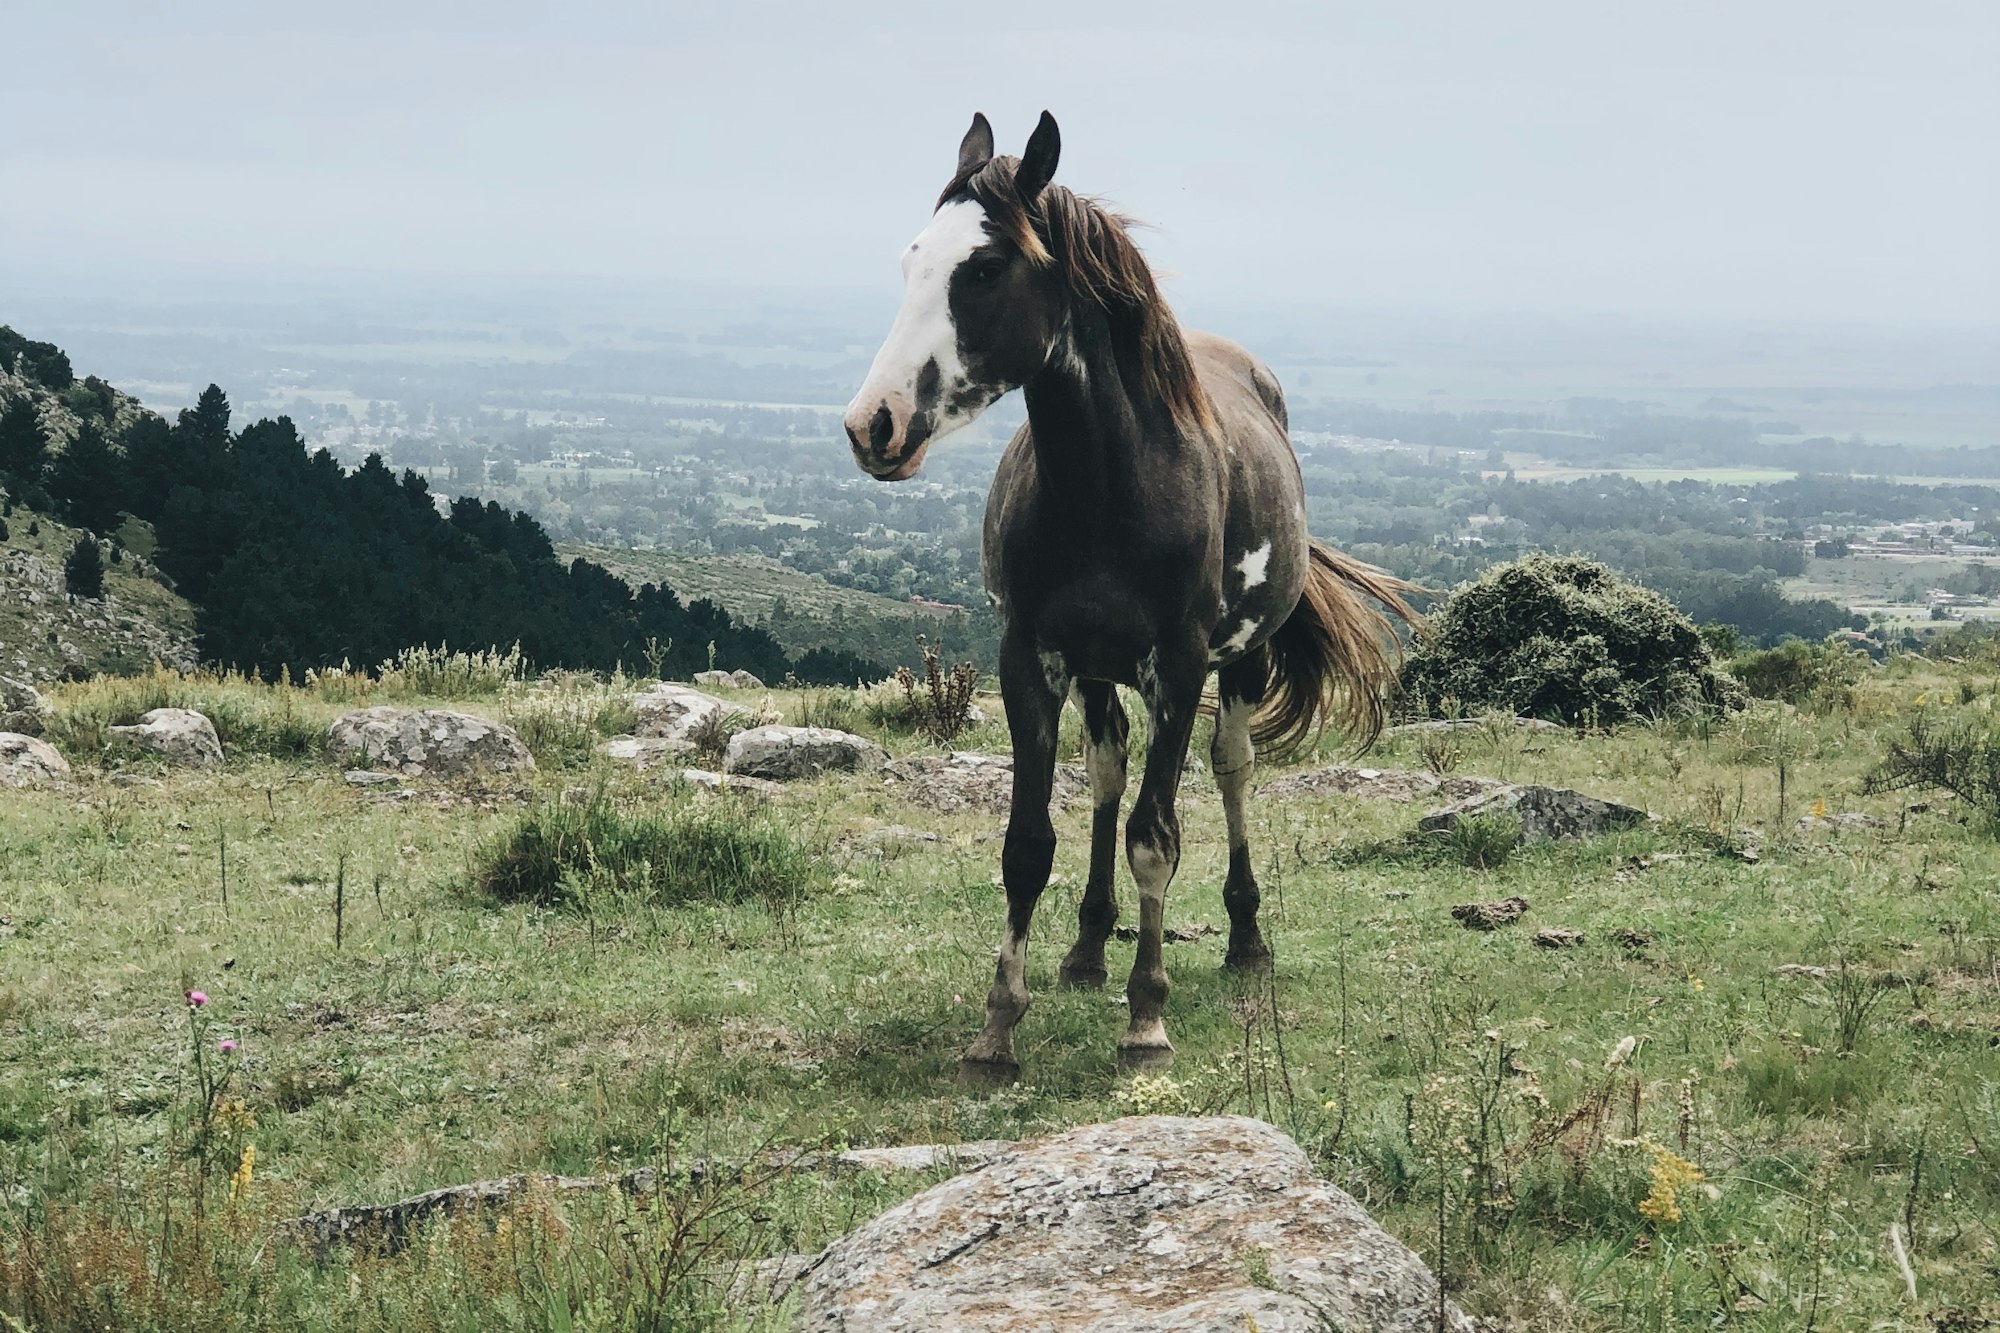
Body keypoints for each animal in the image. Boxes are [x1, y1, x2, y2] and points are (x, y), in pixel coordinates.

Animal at [844, 111, 1424, 1080]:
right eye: (911, 260)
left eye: (984, 268)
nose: (872, 424)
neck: (1110, 488)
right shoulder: (1031, 659)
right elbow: (1028, 844)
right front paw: (999, 1027)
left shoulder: (1178, 667)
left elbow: (1157, 838)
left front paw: (1146, 1015)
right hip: (1096, 670)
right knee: (1109, 770)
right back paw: (1086, 948)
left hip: (1239, 663)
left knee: (1230, 770)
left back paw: (1244, 937)